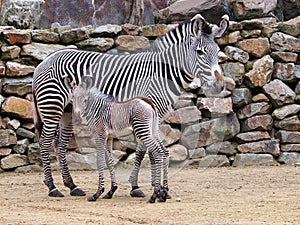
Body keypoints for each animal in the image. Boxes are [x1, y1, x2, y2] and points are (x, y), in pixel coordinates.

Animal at [32, 14, 230, 198]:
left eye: (218, 52)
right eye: (200, 52)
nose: (219, 86)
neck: (162, 72)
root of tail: (44, 61)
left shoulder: (154, 116)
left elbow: (146, 149)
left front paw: (151, 186)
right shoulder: (145, 111)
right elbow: (144, 150)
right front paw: (142, 187)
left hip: (67, 112)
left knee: (60, 144)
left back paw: (71, 185)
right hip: (52, 107)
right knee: (44, 142)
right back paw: (52, 187)